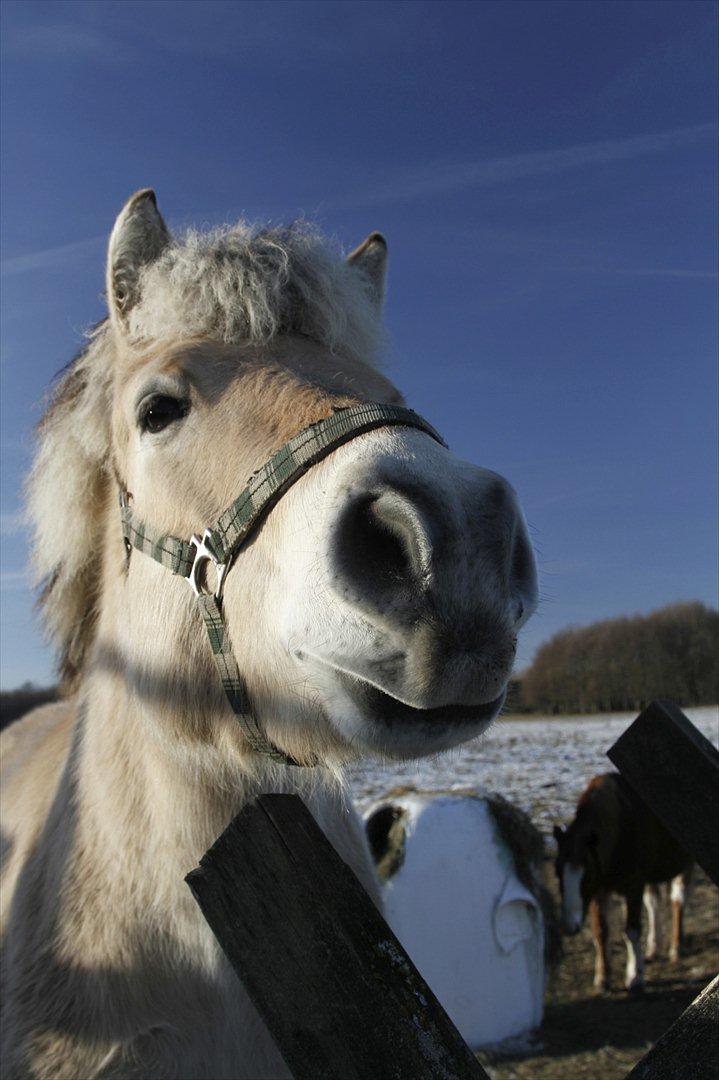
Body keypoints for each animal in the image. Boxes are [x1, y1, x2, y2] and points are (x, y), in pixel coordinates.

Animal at [550, 773, 690, 989]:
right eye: (557, 871)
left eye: (587, 875)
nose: (568, 925)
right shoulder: (600, 890)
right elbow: (600, 931)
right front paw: (602, 975)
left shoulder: (633, 886)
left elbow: (631, 930)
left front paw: (635, 976)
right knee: (654, 902)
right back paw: (653, 947)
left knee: (677, 900)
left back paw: (676, 947)